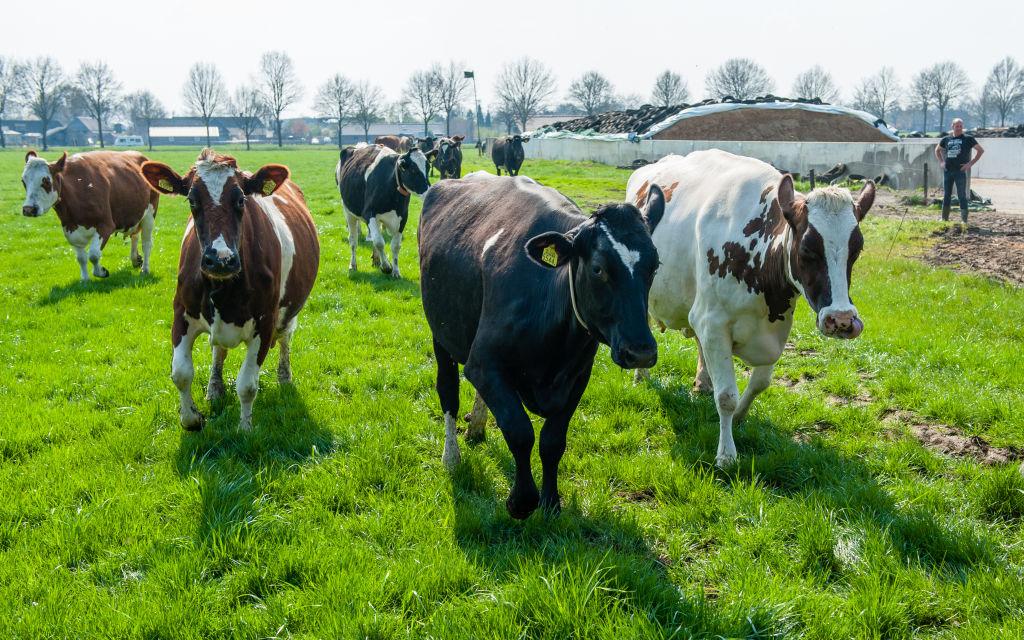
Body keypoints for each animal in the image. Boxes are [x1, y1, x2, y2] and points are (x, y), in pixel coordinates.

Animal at [21, 149, 159, 281]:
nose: (28, 209)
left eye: (46, 181)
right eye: (23, 181)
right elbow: (81, 258)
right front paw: (85, 280)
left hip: (149, 214)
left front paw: (101, 272)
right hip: (135, 215)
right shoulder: (70, 230)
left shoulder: (105, 226)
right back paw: (136, 260)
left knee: (147, 243)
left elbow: (93, 254)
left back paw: (145, 269)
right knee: (134, 235)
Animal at [139, 149, 320, 432]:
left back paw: (284, 377)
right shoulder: (181, 314)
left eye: (241, 200)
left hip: (289, 311)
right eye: (192, 200)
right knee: (218, 351)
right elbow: (181, 373)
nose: (220, 259)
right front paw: (192, 418)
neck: (223, 288)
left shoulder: (265, 323)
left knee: (285, 338)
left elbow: (247, 385)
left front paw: (245, 428)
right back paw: (214, 388)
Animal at [336, 143, 435, 278]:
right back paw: (353, 265)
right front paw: (387, 267)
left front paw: (396, 271)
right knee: (353, 240)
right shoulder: (369, 214)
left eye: (427, 167)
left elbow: (395, 245)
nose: (430, 192)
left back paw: (376, 260)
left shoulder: (403, 217)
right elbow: (379, 242)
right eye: (413, 170)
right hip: (348, 211)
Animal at [419, 172, 663, 519]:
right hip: (441, 332)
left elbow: (552, 441)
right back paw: (451, 458)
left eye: (654, 266)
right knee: (448, 391)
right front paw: (522, 501)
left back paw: (476, 427)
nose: (640, 351)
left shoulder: (578, 377)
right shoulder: (482, 363)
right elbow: (519, 431)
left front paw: (550, 501)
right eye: (598, 268)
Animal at [626, 149, 874, 467]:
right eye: (807, 249)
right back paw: (641, 377)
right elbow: (726, 397)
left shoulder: (773, 330)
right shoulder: (713, 322)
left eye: (857, 249)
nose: (841, 320)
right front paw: (726, 454)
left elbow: (760, 383)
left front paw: (740, 418)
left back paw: (703, 382)